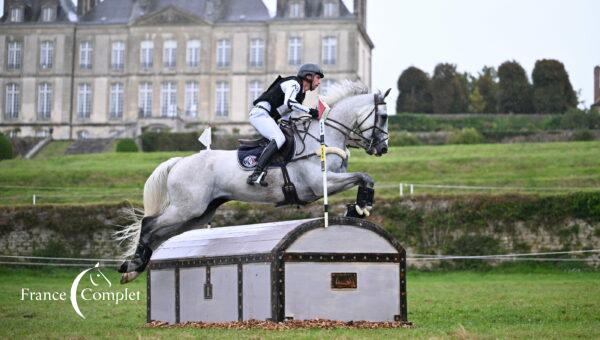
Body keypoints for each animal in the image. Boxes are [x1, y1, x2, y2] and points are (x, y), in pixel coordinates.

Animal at [117, 81, 392, 282]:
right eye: (383, 116)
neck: (324, 135)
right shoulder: (319, 184)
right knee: (149, 224)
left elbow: (364, 178)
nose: (383, 148)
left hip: (199, 214)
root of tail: (180, 161)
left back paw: (134, 267)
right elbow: (364, 176)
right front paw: (360, 207)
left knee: (161, 233)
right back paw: (133, 264)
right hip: (187, 208)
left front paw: (356, 209)